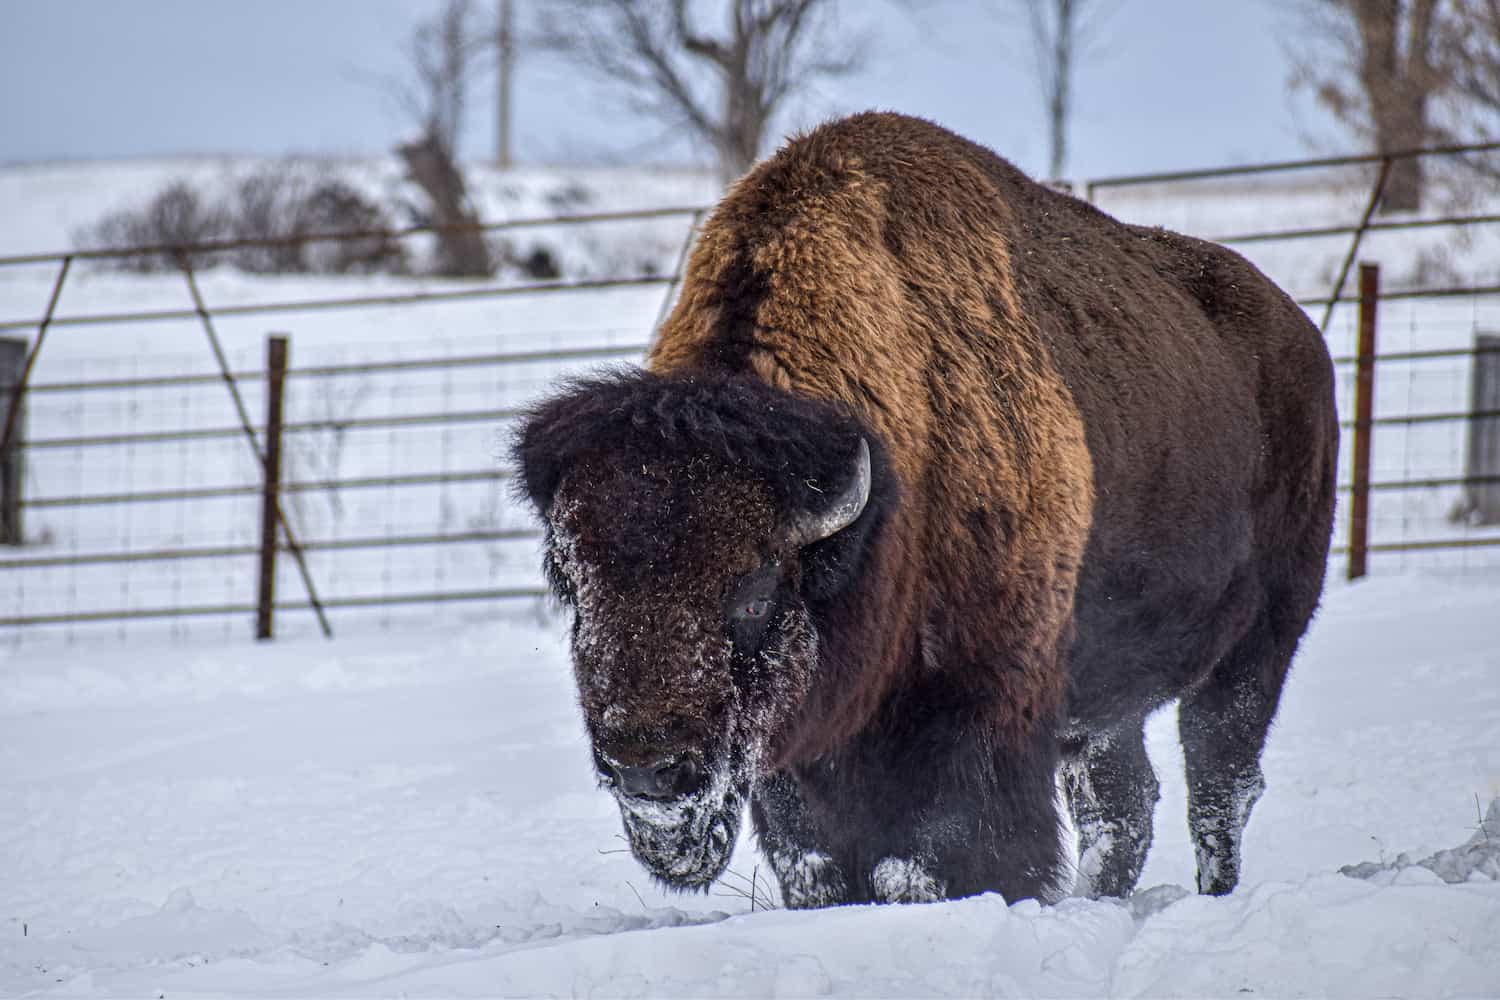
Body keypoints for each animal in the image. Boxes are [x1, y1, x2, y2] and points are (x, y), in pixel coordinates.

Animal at [516, 111, 1338, 905]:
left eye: (753, 595)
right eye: (576, 592)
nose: (647, 767)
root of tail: (1303, 335)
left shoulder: (978, 714)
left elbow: (928, 864)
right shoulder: (800, 760)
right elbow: (818, 867)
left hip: (1263, 640)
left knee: (1220, 782)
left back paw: (1214, 894)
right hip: (1107, 702)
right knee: (1124, 804)